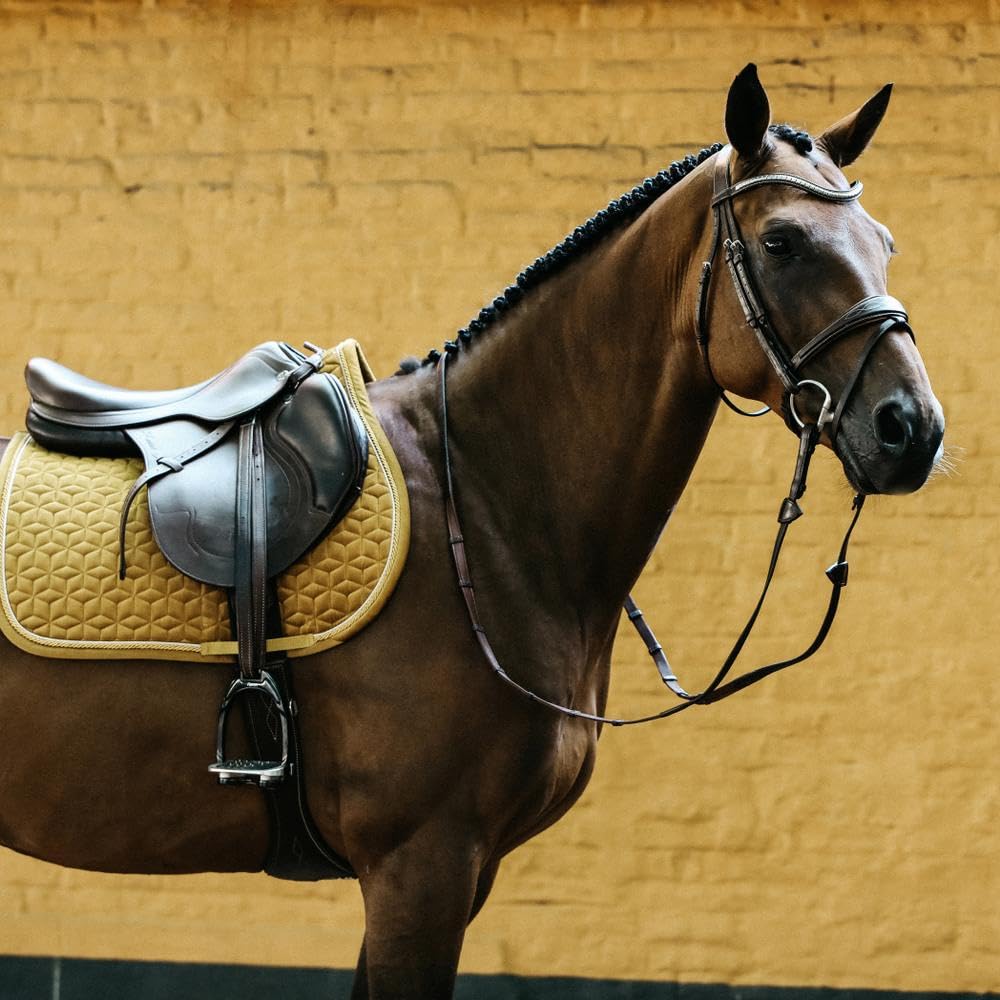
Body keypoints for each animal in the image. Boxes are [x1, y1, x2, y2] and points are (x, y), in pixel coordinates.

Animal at [0, 65, 944, 999]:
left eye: (884, 242)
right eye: (783, 242)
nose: (912, 429)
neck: (482, 505)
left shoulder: (449, 872)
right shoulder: (422, 866)